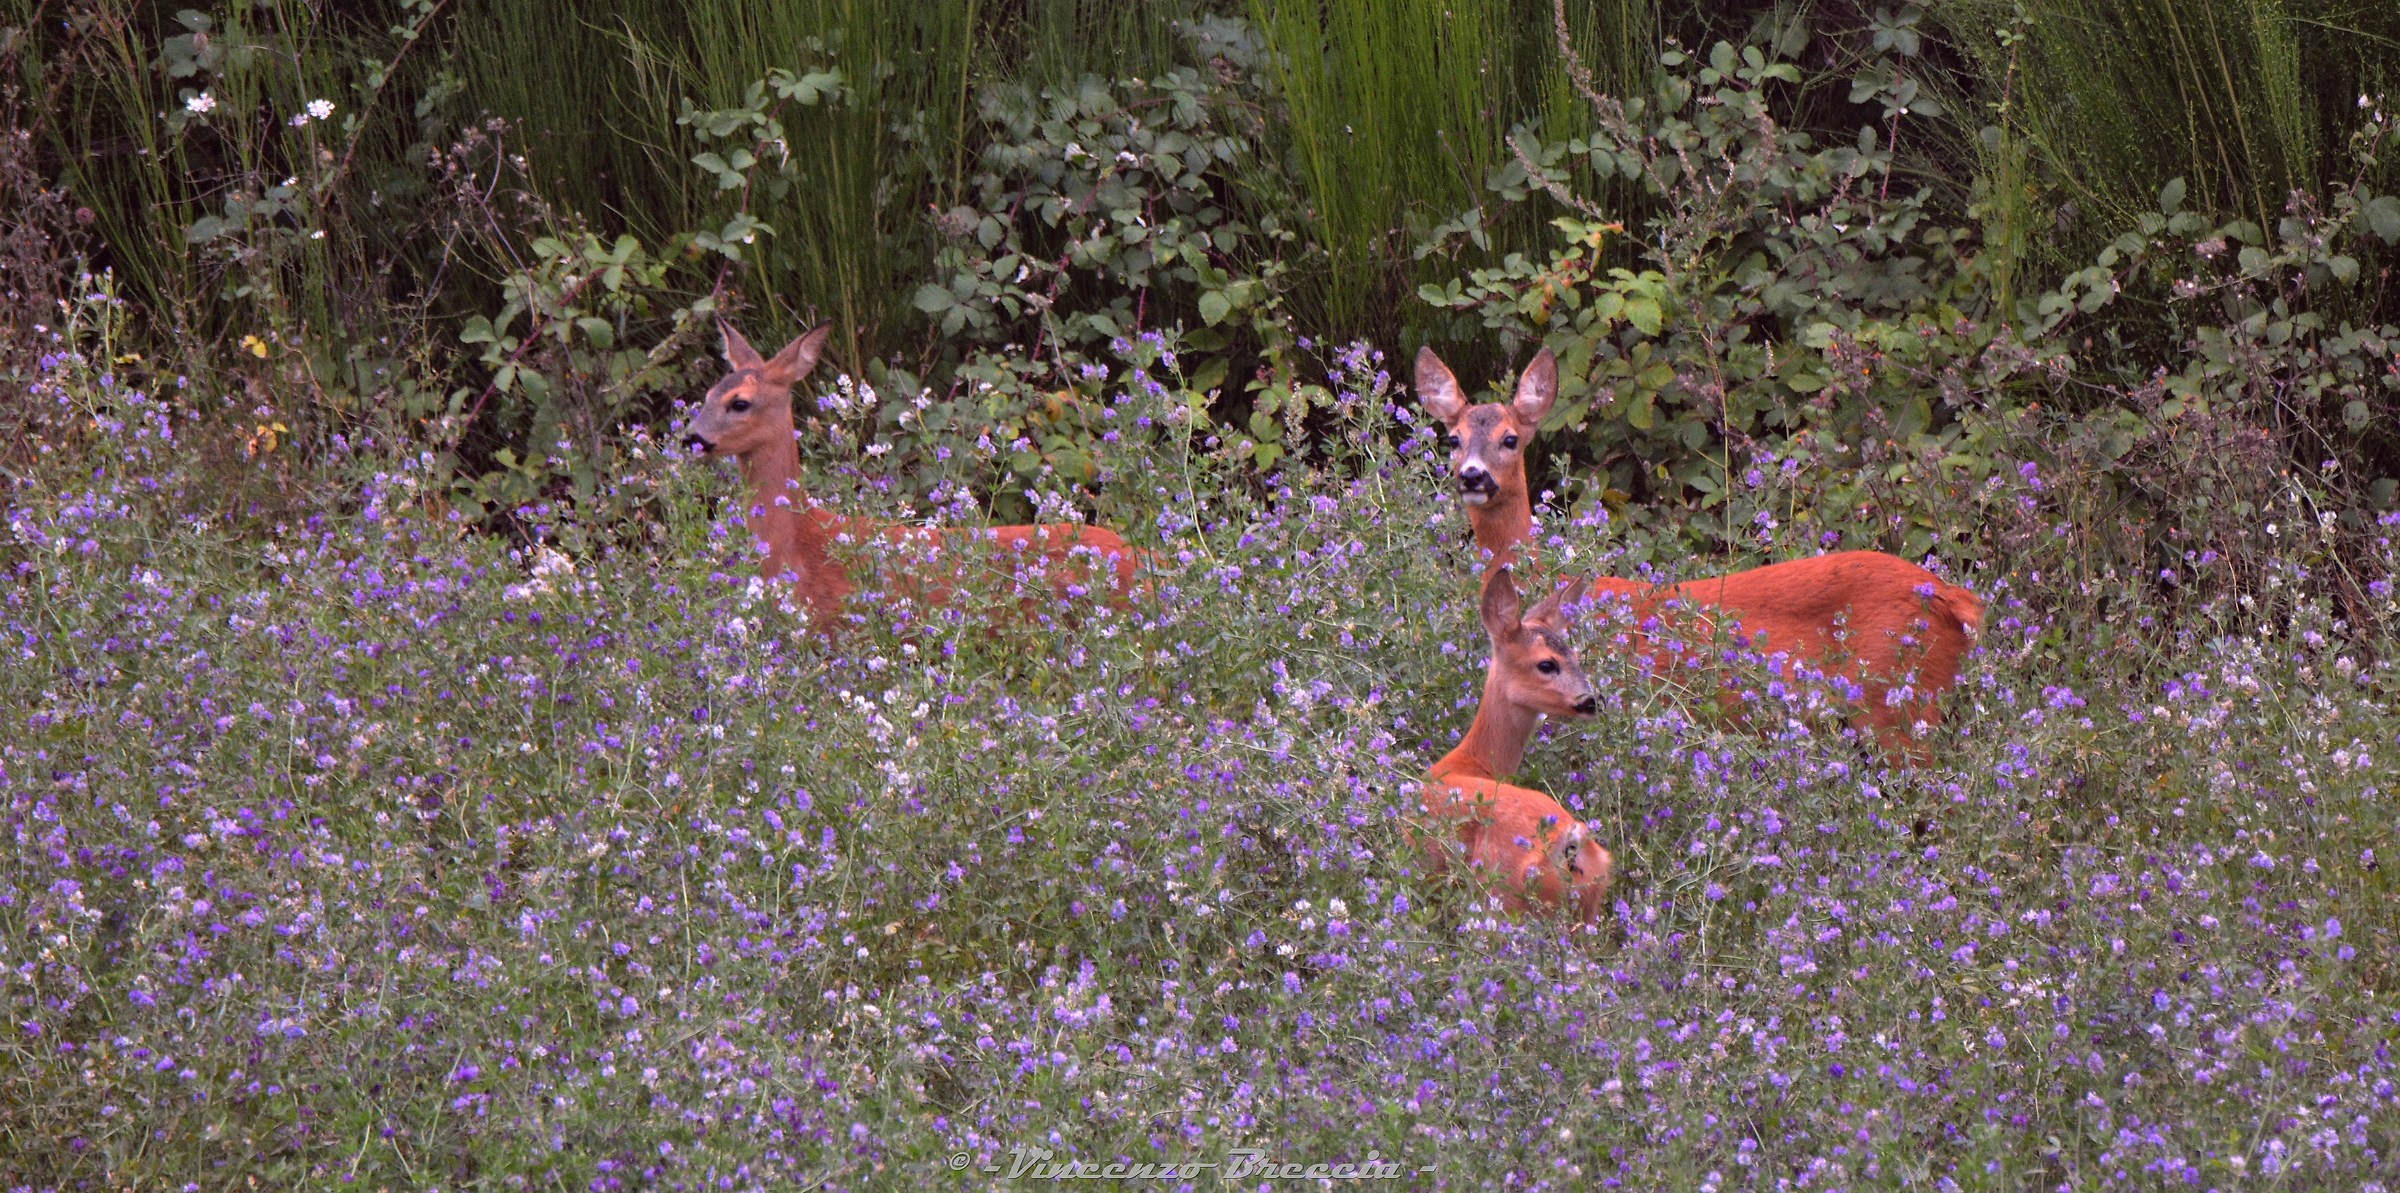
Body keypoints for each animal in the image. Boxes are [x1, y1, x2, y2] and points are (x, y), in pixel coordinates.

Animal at [1413, 566, 1615, 924]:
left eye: (1577, 657)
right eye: (1547, 663)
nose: (1592, 701)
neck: (1471, 763)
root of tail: (1568, 845)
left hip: (1502, 896)